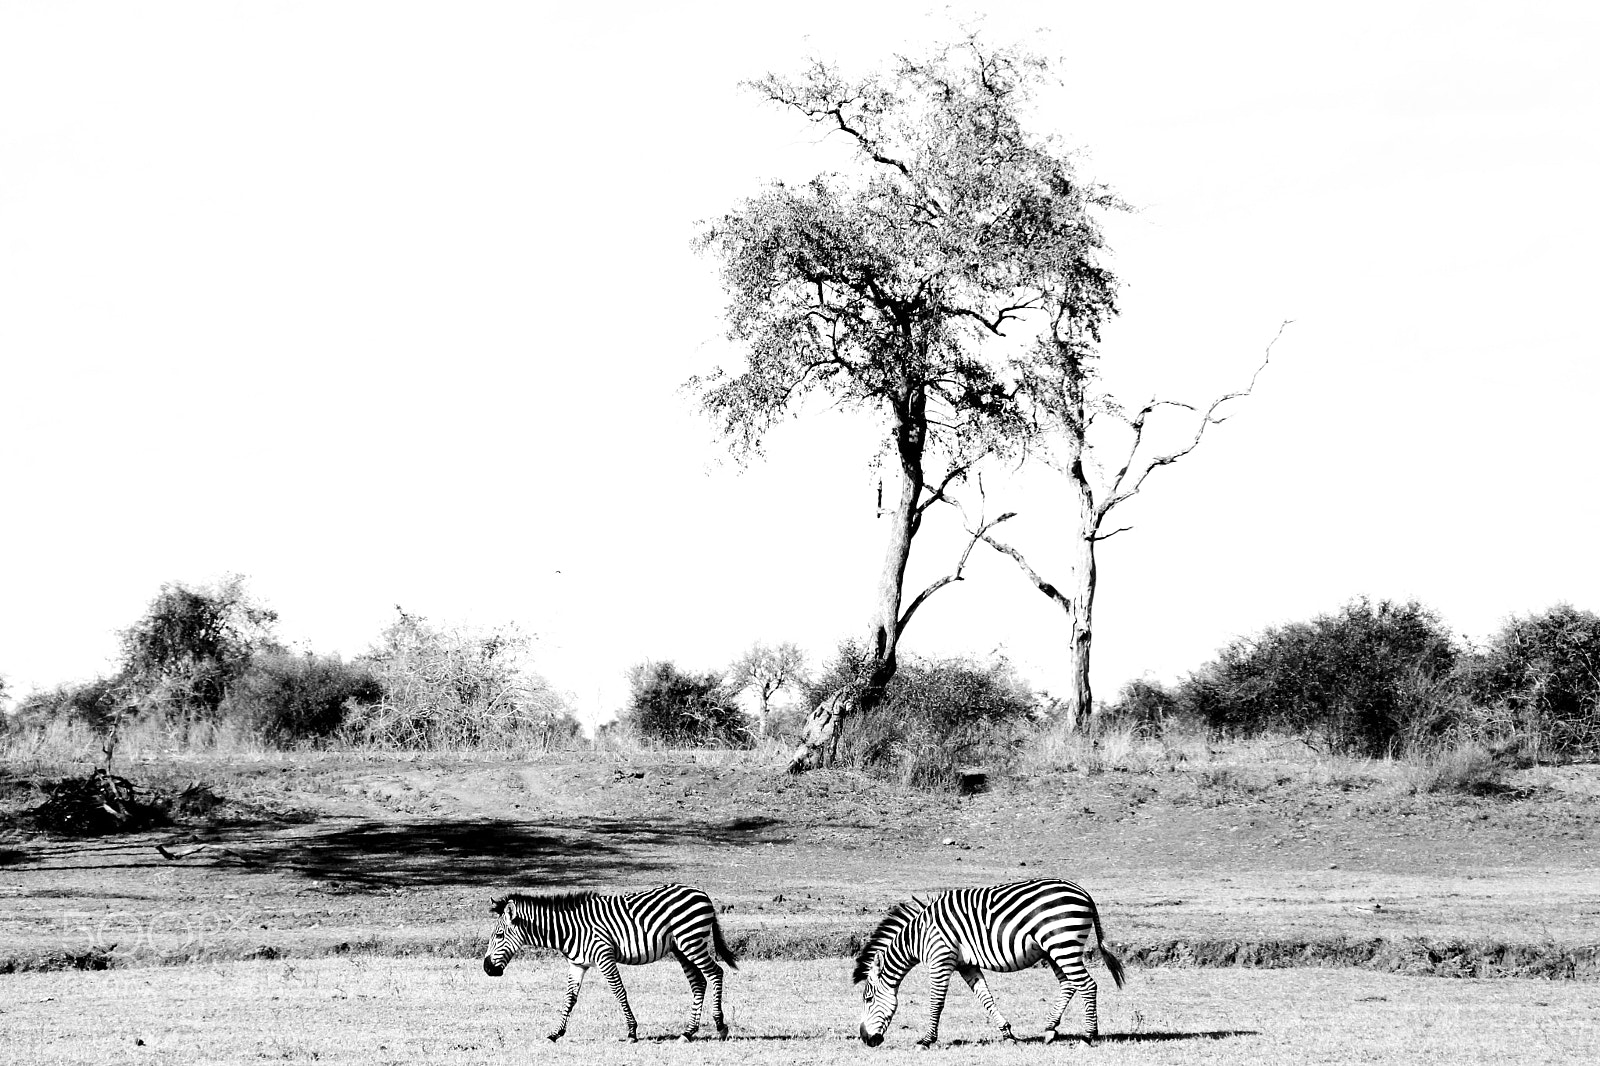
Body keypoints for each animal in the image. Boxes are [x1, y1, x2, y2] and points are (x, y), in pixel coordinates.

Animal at [481, 883, 738, 1042]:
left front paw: (632, 1032)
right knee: (698, 983)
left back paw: (720, 1025)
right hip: (681, 948)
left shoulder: (604, 956)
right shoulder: (577, 964)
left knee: (716, 973)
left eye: (499, 936)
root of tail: (701, 893)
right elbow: (570, 998)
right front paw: (556, 1033)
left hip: (691, 942)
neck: (570, 930)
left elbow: (618, 991)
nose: (487, 968)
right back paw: (688, 1032)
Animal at [853, 877, 1125, 1047]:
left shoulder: (941, 959)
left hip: (1062, 942)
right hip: (1053, 949)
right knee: (1069, 985)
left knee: (1087, 985)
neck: (919, 936)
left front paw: (926, 1040)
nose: (866, 1039)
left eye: (868, 999)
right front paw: (1008, 1034)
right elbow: (985, 998)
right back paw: (1050, 1030)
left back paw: (1088, 1037)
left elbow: (936, 1003)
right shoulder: (966, 964)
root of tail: (1083, 892)